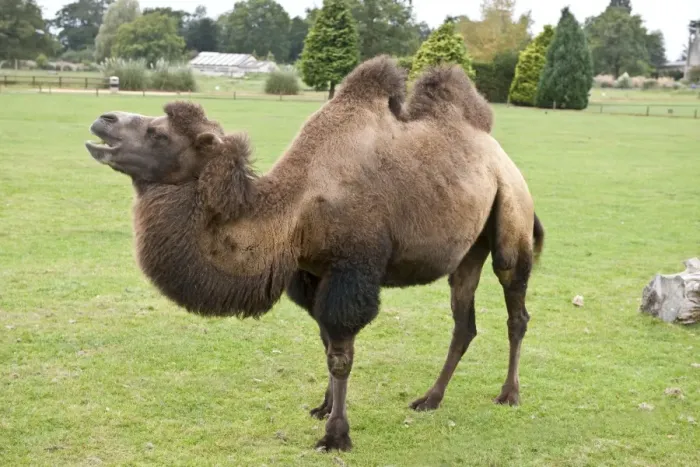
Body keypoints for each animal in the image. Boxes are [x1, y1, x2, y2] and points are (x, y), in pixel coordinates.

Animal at [84, 55, 544, 452]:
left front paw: (336, 435)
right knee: (463, 320)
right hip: (467, 249)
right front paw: (323, 408)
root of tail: (499, 153)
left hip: (511, 213)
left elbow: (341, 356)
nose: (104, 119)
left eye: (159, 134)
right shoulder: (313, 274)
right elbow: (326, 346)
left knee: (515, 304)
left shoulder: (351, 270)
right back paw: (430, 399)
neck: (295, 209)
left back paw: (509, 393)